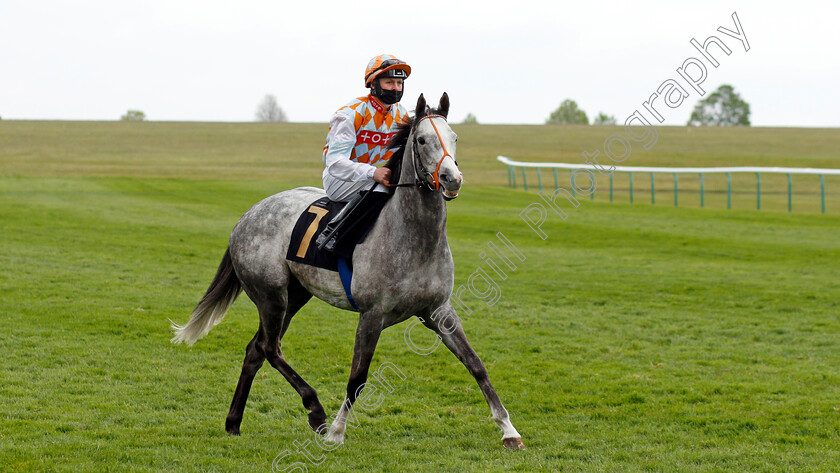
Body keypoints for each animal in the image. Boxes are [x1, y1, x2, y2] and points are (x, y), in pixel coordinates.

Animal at [171, 92, 524, 450]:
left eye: (454, 137)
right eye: (422, 140)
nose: (453, 178)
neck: (414, 239)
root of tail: (248, 215)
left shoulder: (438, 311)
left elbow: (476, 365)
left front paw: (509, 430)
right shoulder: (372, 315)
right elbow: (357, 377)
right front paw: (337, 432)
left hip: (294, 297)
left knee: (255, 350)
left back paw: (234, 422)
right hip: (270, 295)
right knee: (270, 348)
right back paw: (315, 410)